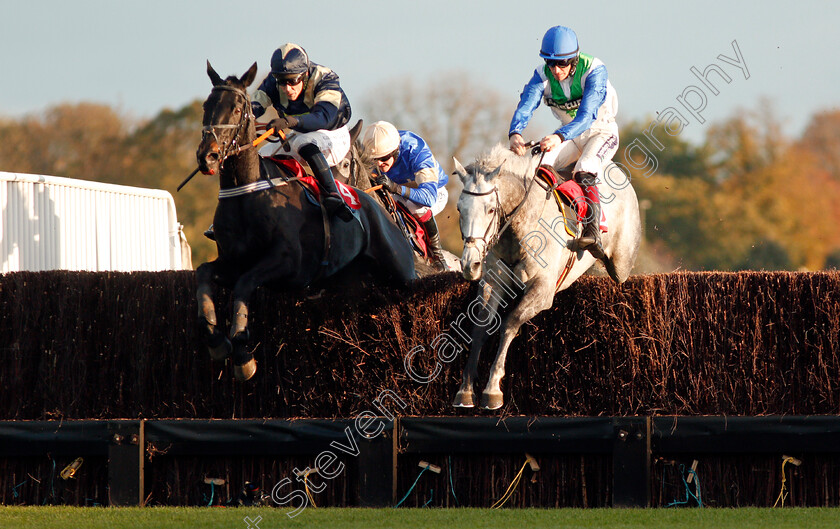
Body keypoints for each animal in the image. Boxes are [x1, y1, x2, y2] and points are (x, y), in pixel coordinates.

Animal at [191, 64, 414, 380]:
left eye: (236, 108)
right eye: (206, 106)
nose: (207, 156)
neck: (248, 193)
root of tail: (378, 206)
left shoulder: (288, 262)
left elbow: (245, 285)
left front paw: (243, 352)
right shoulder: (232, 261)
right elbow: (203, 274)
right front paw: (216, 340)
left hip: (401, 267)